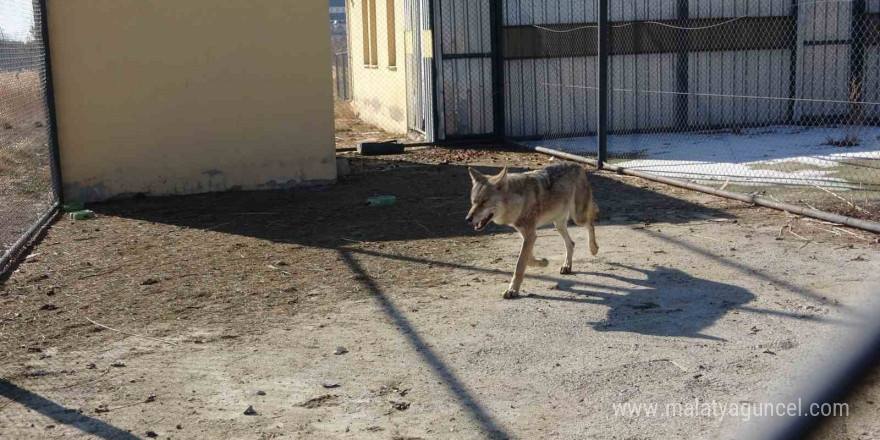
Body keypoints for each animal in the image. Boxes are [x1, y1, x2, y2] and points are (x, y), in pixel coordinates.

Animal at [464, 162, 600, 300]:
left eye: (484, 202)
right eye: (473, 201)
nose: (468, 219)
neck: (518, 200)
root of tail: (578, 165)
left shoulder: (530, 234)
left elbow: (520, 265)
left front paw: (512, 290)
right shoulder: (526, 235)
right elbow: (528, 259)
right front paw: (543, 262)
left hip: (578, 217)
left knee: (591, 225)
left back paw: (593, 249)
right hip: (558, 224)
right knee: (571, 243)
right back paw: (567, 266)